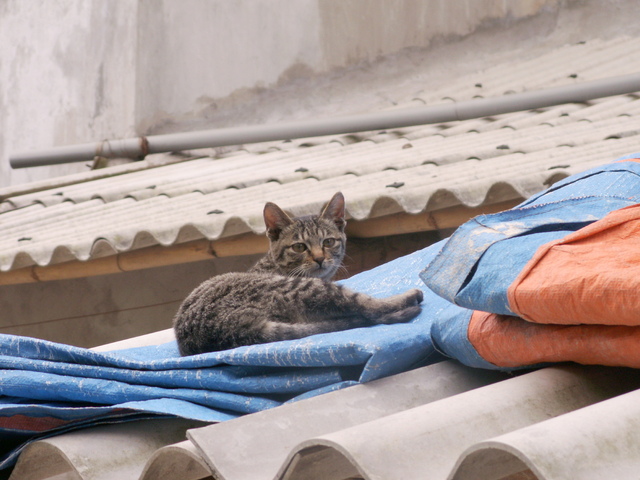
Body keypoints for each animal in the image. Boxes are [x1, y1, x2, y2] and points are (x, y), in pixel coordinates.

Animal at [175, 192, 424, 356]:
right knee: (366, 306)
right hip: (306, 289)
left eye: (328, 242)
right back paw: (407, 297)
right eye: (299, 247)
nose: (320, 258)